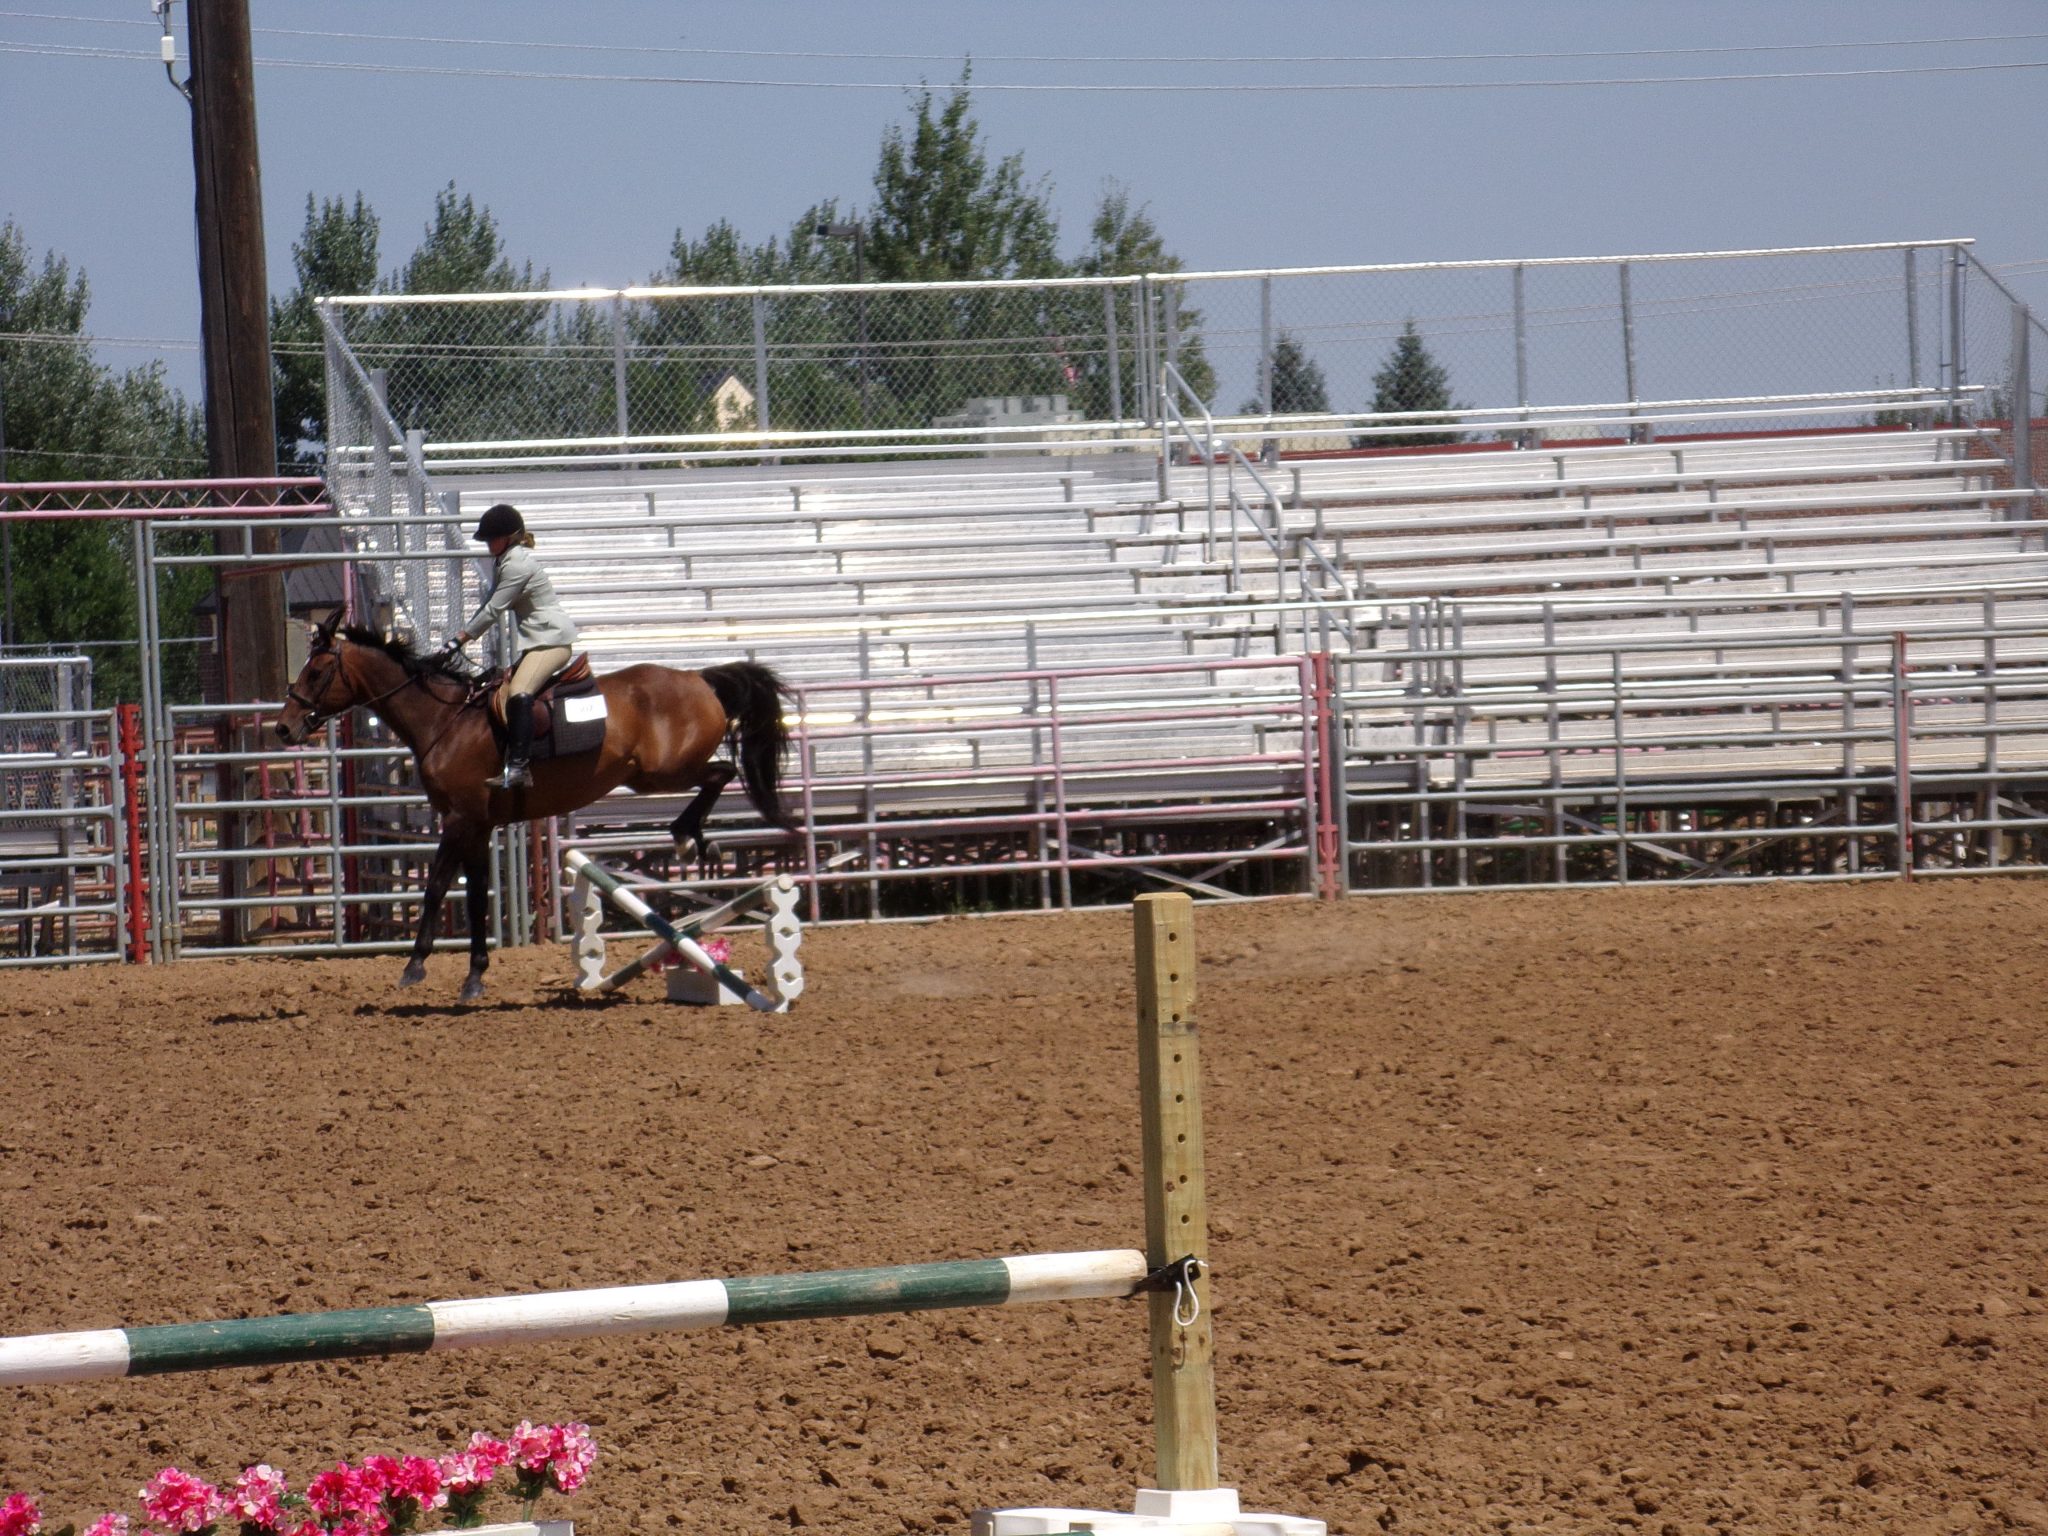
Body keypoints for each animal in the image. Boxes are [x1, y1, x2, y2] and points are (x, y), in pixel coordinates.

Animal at [266, 606, 790, 1003]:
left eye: (316, 671)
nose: (285, 728)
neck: (444, 720)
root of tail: (698, 678)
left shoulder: (459, 820)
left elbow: (436, 888)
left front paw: (414, 966)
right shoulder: (477, 826)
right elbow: (476, 896)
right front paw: (474, 975)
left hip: (665, 771)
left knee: (721, 774)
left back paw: (687, 836)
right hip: (648, 776)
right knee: (718, 776)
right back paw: (692, 839)